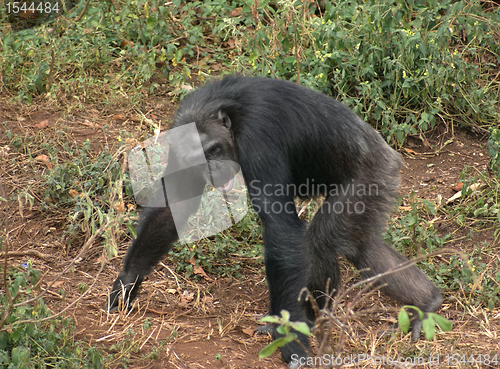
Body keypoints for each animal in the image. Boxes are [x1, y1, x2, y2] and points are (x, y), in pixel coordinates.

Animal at [108, 75, 442, 368]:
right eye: (201, 159)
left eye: (215, 149)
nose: (215, 170)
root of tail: (391, 156)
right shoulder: (179, 144)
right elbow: (172, 206)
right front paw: (127, 283)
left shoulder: (258, 138)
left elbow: (280, 227)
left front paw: (292, 339)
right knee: (362, 246)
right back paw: (426, 303)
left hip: (369, 180)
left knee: (320, 242)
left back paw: (315, 320)